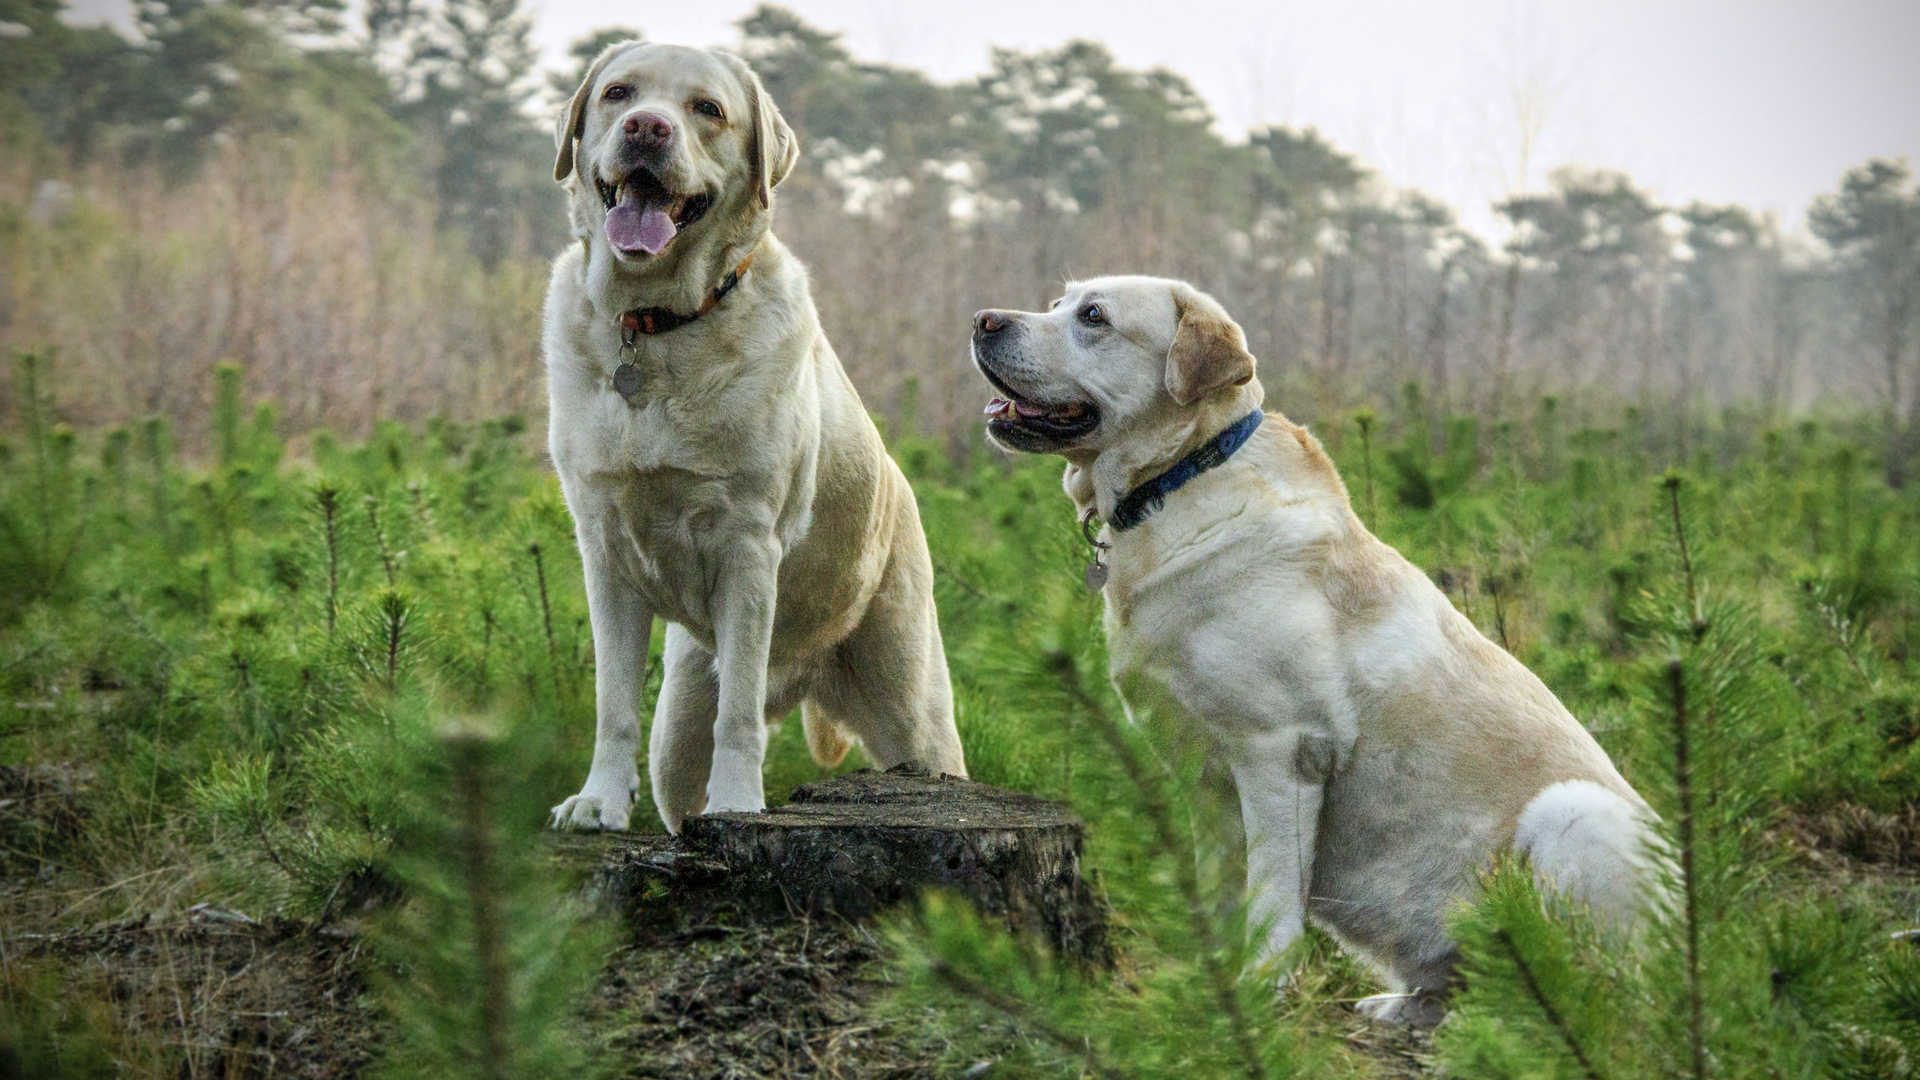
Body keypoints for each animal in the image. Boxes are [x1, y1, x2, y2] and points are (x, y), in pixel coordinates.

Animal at [545, 42, 967, 826]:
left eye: (707, 109)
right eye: (619, 94)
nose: (648, 128)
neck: (658, 327)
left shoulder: (747, 545)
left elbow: (738, 714)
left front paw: (738, 805)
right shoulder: (605, 550)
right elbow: (612, 702)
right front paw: (597, 801)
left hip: (915, 713)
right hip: (678, 724)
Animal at [975, 274, 1666, 1014]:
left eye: (1094, 317)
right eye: (1056, 303)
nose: (984, 320)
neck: (1182, 478)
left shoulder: (1282, 752)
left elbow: (1273, 894)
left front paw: (1261, 988)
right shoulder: (1203, 775)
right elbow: (1221, 887)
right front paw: (1215, 984)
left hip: (1572, 814)